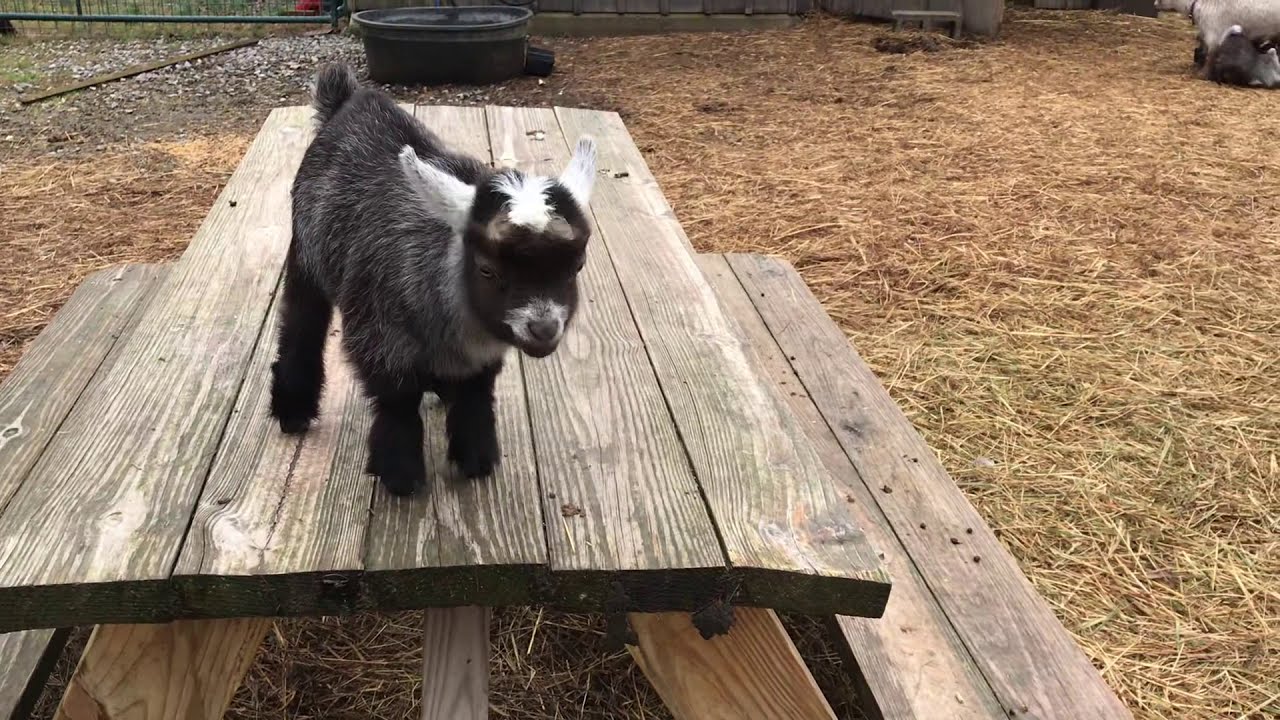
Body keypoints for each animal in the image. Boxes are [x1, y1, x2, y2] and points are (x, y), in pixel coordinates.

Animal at [270, 63, 597, 496]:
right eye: (487, 269)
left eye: (576, 266)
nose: (543, 329)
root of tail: (346, 100)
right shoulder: (378, 338)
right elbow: (397, 404)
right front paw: (400, 475)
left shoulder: (480, 359)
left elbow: (476, 393)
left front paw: (475, 458)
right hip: (306, 250)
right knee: (301, 320)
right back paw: (293, 409)